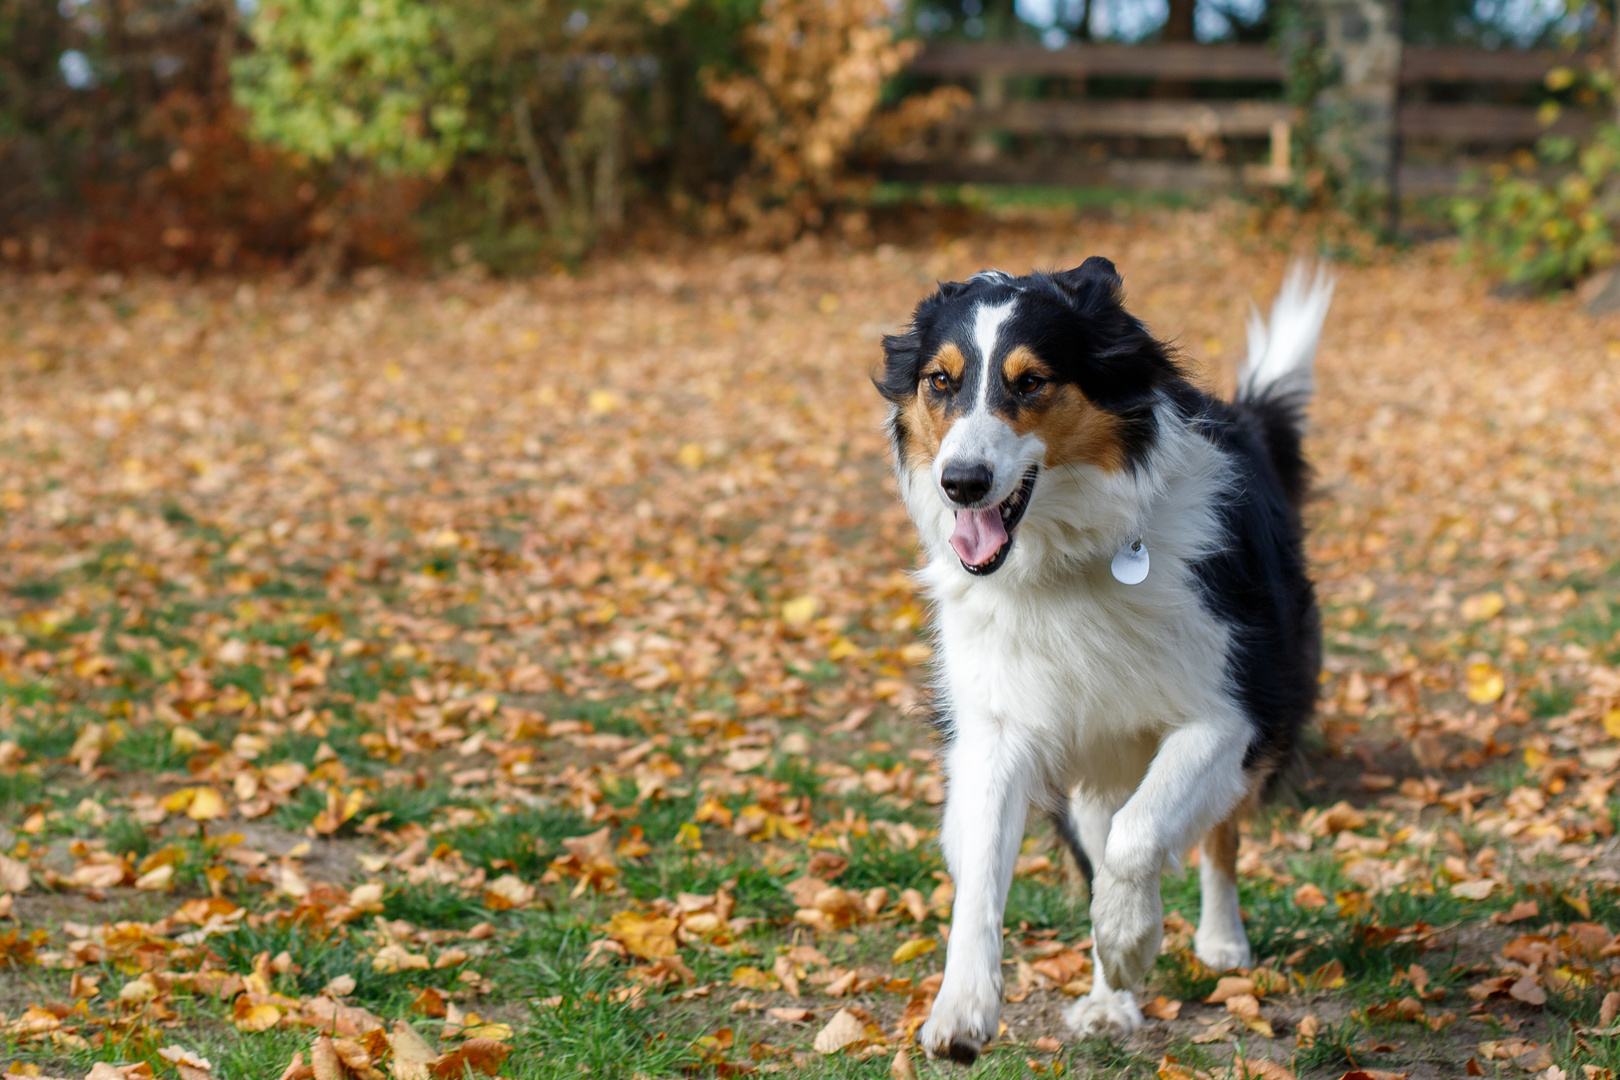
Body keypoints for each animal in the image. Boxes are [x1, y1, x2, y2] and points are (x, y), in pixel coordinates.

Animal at [874, 257, 1328, 1062]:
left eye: (1030, 382)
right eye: (940, 381)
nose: (960, 483)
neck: (1065, 559)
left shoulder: (1230, 714)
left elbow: (1141, 836)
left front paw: (1127, 940)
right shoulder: (997, 728)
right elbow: (982, 872)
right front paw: (962, 1009)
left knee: (1215, 835)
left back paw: (1219, 942)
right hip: (1096, 767)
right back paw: (1110, 1003)